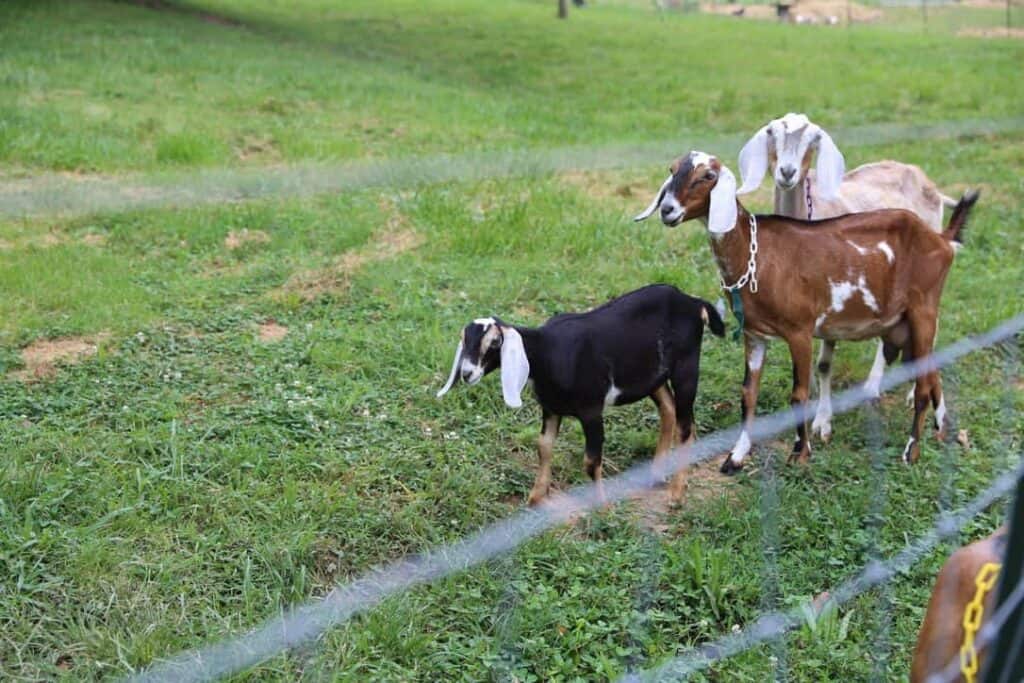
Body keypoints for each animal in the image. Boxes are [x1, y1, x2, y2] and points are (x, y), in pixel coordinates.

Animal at [436, 285, 725, 505]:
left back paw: (676, 494)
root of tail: (693, 302)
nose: (467, 373)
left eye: (495, 342)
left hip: (686, 367)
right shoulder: (551, 408)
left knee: (686, 426)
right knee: (668, 410)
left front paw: (603, 507)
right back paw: (656, 475)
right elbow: (544, 447)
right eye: (465, 340)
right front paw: (535, 498)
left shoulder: (591, 410)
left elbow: (590, 460)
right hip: (653, 376)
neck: (548, 352)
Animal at [635, 151, 978, 471]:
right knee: (930, 371)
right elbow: (748, 394)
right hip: (903, 323)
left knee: (922, 386)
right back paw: (940, 430)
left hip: (924, 309)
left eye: (707, 175)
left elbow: (799, 394)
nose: (668, 210)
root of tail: (941, 240)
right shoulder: (754, 334)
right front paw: (736, 456)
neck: (755, 254)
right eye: (672, 170)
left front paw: (800, 453)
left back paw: (911, 452)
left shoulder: (799, 330)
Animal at [737, 113, 961, 442]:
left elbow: (823, 363)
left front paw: (822, 422)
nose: (787, 172)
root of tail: (926, 181)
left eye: (813, 138)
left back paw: (892, 390)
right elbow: (816, 366)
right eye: (771, 132)